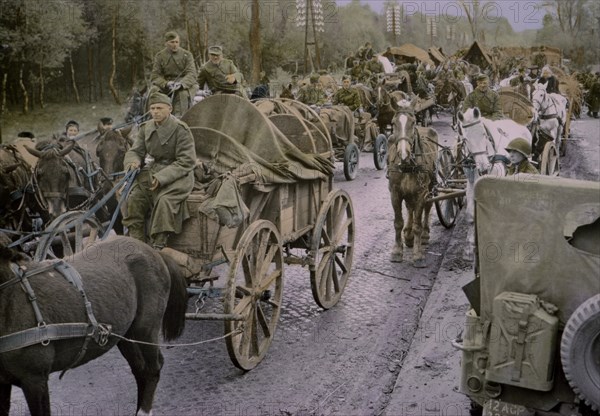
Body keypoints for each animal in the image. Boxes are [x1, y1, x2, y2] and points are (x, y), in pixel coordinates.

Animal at [0, 236, 188, 414]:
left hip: (145, 330)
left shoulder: (35, 379)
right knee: (140, 369)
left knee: (152, 370)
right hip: (126, 335)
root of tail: (153, 251)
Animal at [386, 99, 438, 268]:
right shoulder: (395, 192)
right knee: (410, 207)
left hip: (429, 187)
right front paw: (397, 250)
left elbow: (418, 224)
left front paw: (417, 254)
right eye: (393, 123)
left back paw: (424, 234)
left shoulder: (422, 193)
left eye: (413, 121)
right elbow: (398, 222)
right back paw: (407, 235)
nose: (404, 154)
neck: (408, 166)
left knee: (427, 208)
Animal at [458, 105, 532, 258]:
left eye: (484, 134)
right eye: (466, 140)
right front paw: (470, 245)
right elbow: (470, 214)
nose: (484, 167)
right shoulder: (471, 183)